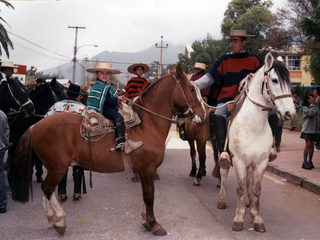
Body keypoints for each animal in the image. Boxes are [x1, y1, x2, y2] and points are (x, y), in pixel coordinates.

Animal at [11, 64, 205, 236]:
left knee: (47, 190)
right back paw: (59, 221)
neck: (147, 124)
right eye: (191, 88)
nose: (202, 114)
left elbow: (146, 196)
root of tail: (35, 126)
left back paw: (53, 219)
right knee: (47, 188)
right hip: (57, 168)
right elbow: (150, 197)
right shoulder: (148, 169)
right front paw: (154, 224)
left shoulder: (145, 171)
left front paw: (146, 221)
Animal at [218, 52, 296, 232]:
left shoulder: (261, 161)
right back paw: (222, 200)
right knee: (224, 173)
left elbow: (256, 189)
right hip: (226, 155)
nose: (290, 113)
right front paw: (239, 218)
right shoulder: (239, 160)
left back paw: (248, 203)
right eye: (274, 80)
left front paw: (257, 218)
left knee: (249, 180)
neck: (253, 126)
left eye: (290, 82)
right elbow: (240, 188)